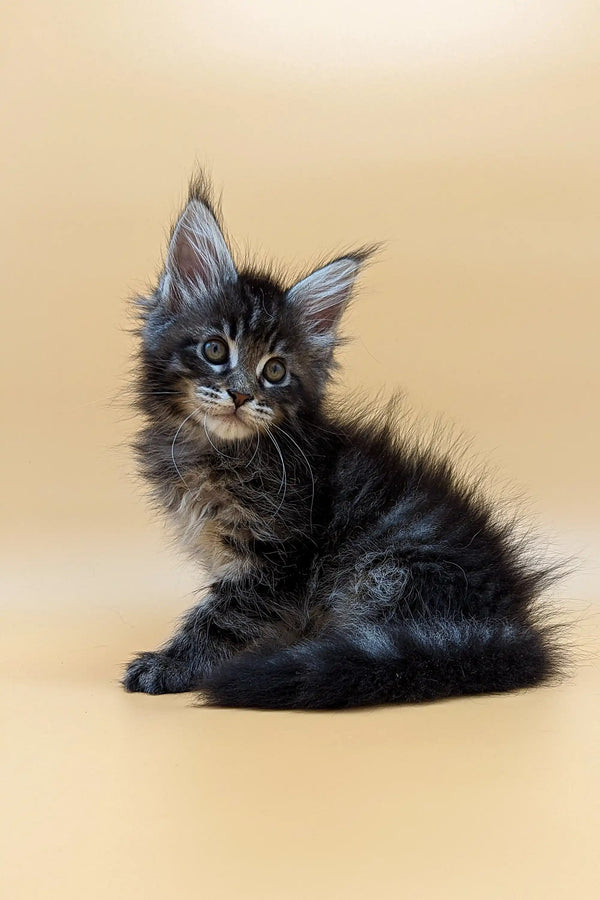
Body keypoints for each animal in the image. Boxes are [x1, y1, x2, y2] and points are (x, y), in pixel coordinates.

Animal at [123, 178, 564, 712]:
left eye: (275, 371)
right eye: (214, 349)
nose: (241, 395)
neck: (219, 452)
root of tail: (510, 624)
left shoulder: (277, 559)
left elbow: (223, 619)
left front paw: (169, 665)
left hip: (383, 572)